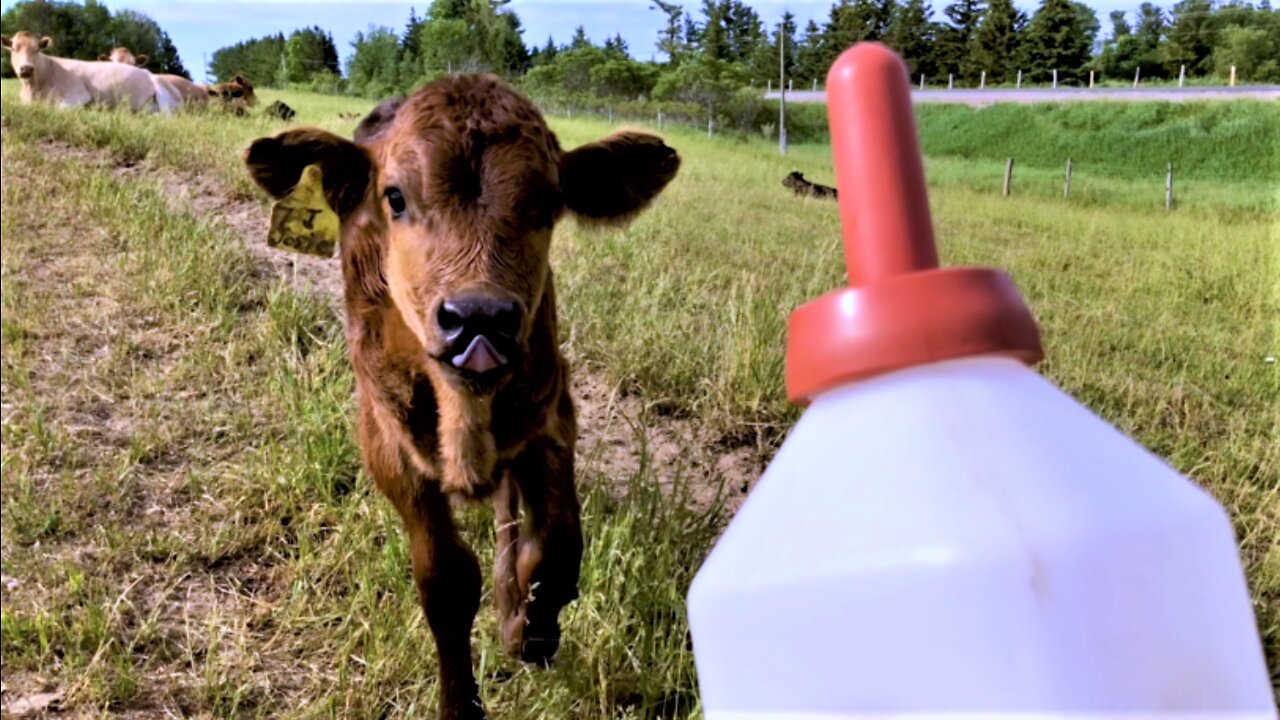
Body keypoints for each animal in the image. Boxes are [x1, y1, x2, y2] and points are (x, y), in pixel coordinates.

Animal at [0, 32, 181, 112]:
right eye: (14, 49)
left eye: (37, 49)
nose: (26, 68)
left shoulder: (78, 95)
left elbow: (58, 108)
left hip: (165, 96)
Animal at [240, 74, 680, 717]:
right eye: (395, 198)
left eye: (548, 203)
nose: (479, 318)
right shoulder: (386, 439)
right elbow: (445, 580)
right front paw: (461, 700)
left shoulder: (551, 415)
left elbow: (556, 551)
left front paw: (529, 631)